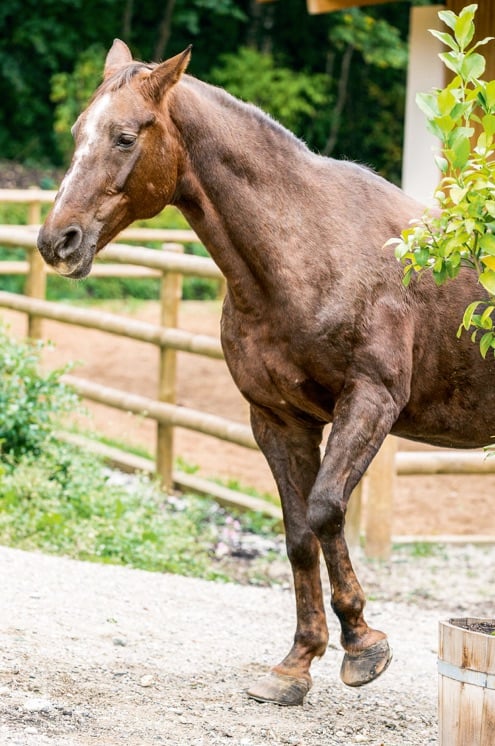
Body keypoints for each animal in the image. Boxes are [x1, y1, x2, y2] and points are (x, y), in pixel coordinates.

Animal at [37, 43, 495, 708]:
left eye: (125, 137)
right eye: (78, 133)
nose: (58, 242)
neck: (306, 251)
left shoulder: (371, 402)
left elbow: (327, 509)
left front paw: (365, 646)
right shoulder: (278, 420)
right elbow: (299, 533)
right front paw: (297, 664)